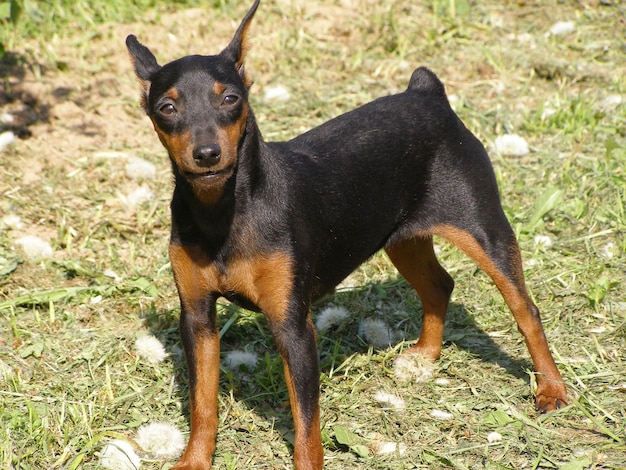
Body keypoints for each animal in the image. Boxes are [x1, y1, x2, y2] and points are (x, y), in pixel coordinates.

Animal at [125, 1, 564, 468]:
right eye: (166, 108)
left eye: (230, 99)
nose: (207, 154)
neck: (222, 210)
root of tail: (427, 94)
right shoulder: (198, 320)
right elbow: (202, 404)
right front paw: (194, 460)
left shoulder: (294, 327)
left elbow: (306, 424)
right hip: (400, 238)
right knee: (439, 285)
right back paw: (425, 358)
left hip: (483, 231)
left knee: (526, 309)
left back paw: (551, 389)